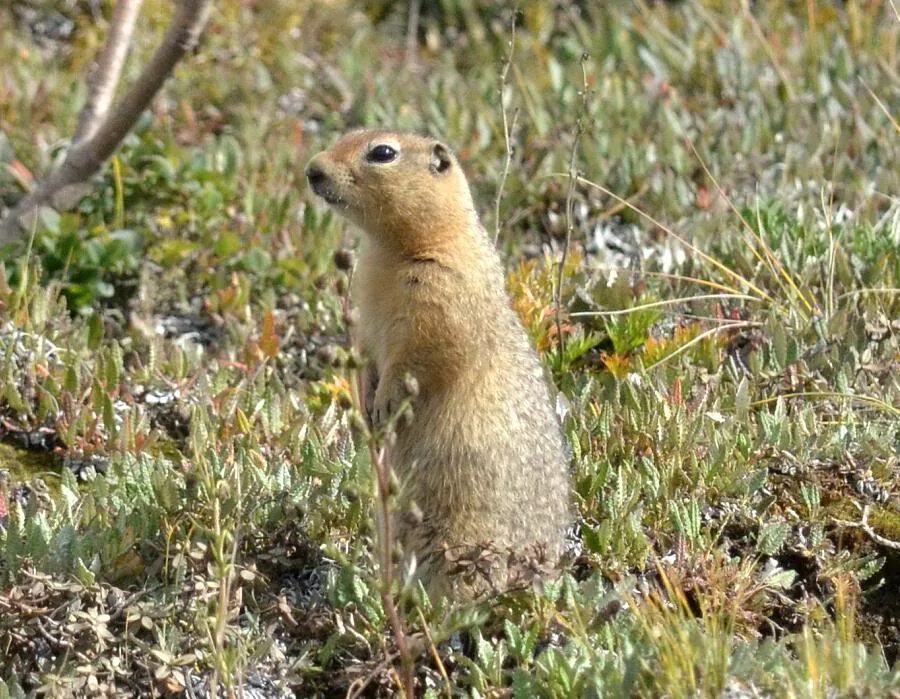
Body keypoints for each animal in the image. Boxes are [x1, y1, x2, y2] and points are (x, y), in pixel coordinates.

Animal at [304, 129, 568, 600]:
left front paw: (386, 402)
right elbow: (367, 352)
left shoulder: (441, 291)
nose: (312, 170)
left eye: (383, 152)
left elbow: (422, 353)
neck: (392, 252)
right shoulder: (364, 310)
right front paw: (366, 402)